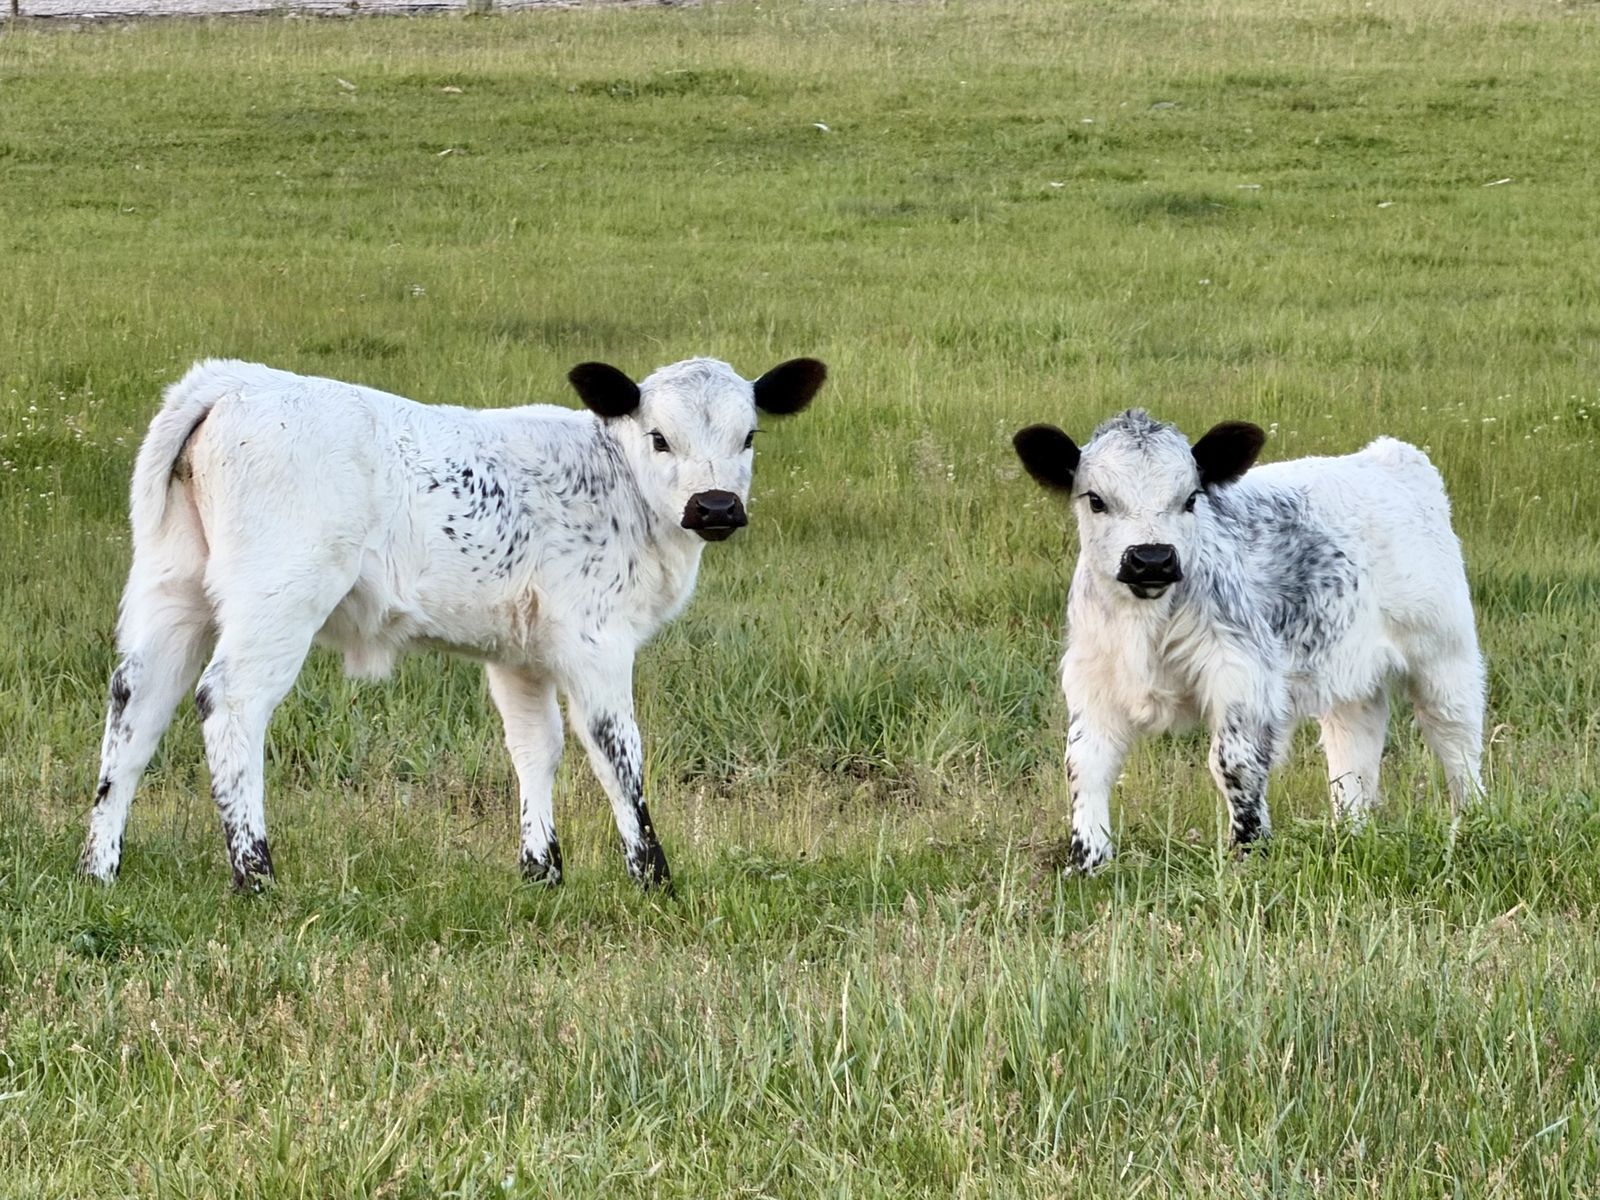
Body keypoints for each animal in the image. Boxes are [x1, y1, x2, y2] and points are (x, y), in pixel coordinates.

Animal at [81, 355, 826, 891]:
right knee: (230, 702)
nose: (717, 507)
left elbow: (535, 747)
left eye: (749, 436)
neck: (617, 486)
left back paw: (99, 868)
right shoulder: (596, 642)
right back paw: (256, 873)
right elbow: (617, 752)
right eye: (660, 438)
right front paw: (653, 877)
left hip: (171, 588)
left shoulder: (519, 654)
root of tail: (234, 380)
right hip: (278, 597)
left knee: (136, 704)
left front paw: (542, 872)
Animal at [1012, 409, 1485, 872]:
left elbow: (1234, 761)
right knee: (1355, 747)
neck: (1145, 626)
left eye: (1191, 498)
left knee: (1458, 742)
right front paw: (1087, 862)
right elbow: (1085, 764)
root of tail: (1390, 455)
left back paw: (1471, 826)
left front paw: (1249, 852)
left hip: (1446, 653)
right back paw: (1350, 834)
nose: (1152, 559)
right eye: (1096, 500)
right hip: (1350, 671)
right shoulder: (1092, 679)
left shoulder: (1242, 671)